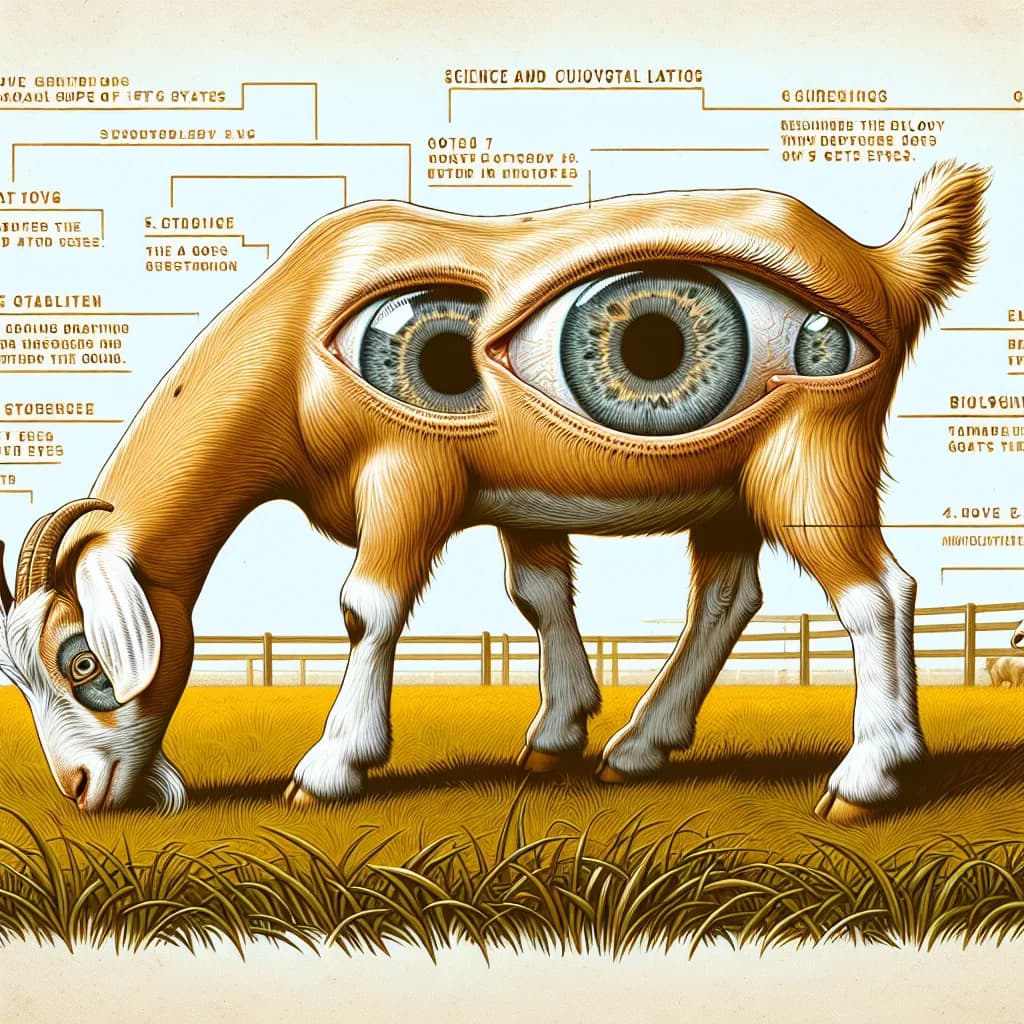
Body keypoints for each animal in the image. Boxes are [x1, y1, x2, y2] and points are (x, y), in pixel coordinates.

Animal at [0, 161, 987, 823]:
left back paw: (866, 780)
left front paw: (330, 768)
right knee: (727, 595)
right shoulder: (518, 501)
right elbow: (539, 595)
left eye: (81, 660)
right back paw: (638, 748)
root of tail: (882, 265)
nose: (81, 791)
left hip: (811, 452)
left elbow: (367, 606)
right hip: (729, 485)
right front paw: (554, 738)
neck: (288, 354)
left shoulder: (408, 474)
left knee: (876, 592)